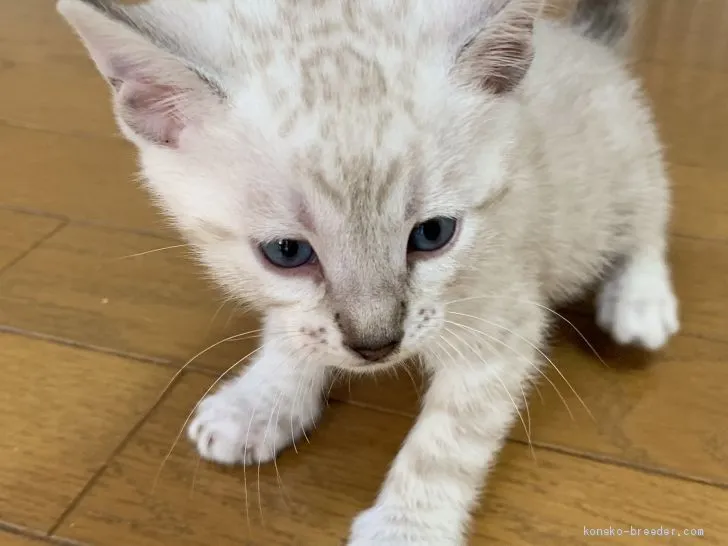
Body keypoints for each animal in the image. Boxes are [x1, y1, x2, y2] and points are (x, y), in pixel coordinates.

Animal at [59, 0, 680, 540]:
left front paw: (408, 528)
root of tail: (584, 41)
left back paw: (640, 301)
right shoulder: (295, 305)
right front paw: (260, 404)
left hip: (612, 187)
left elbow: (446, 442)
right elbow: (292, 333)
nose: (377, 344)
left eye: (433, 234)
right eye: (287, 252)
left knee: (650, 216)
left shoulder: (501, 322)